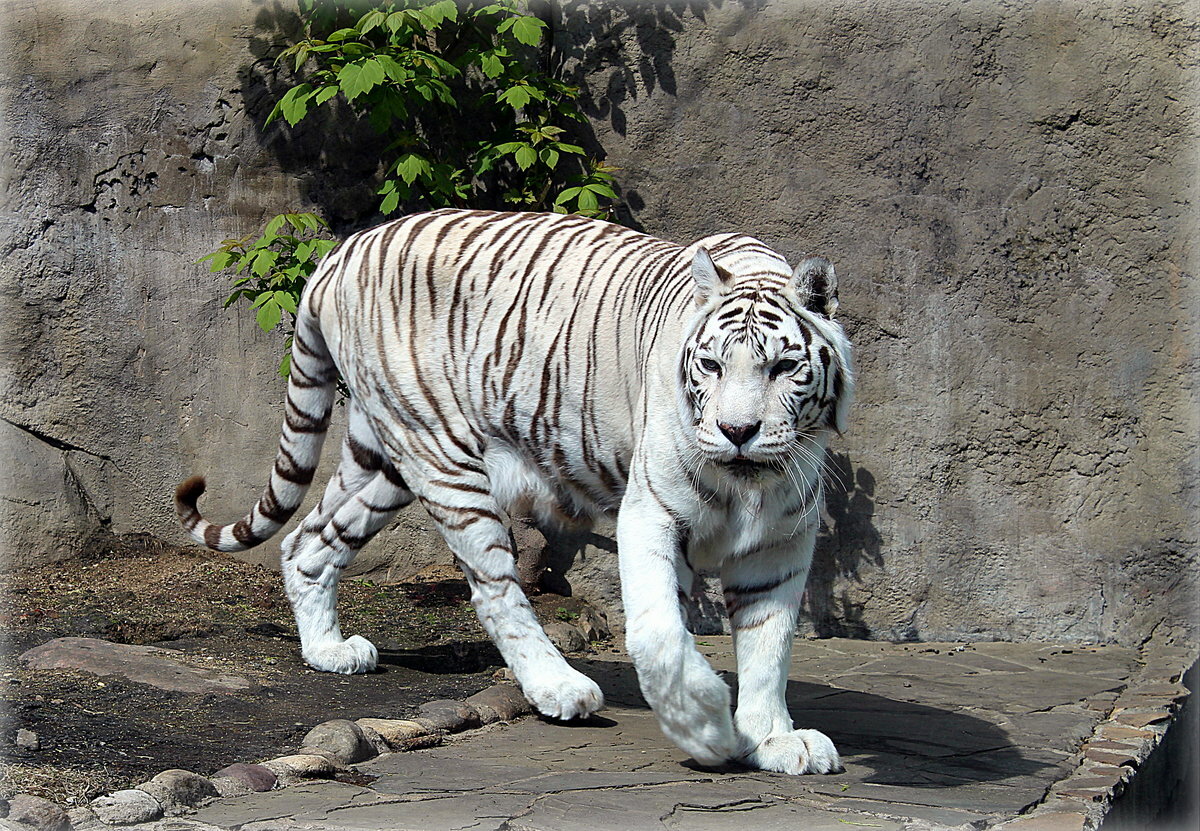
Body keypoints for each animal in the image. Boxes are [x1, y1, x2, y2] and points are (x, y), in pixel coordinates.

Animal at [175, 208, 853, 775]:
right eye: (711, 366)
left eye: (784, 368)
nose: (737, 432)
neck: (750, 485)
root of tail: (342, 251)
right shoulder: (651, 514)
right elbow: (660, 637)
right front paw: (707, 728)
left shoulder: (781, 542)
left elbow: (769, 645)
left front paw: (774, 738)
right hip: (440, 454)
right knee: (494, 591)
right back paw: (560, 688)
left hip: (384, 457)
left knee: (308, 541)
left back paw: (329, 651)